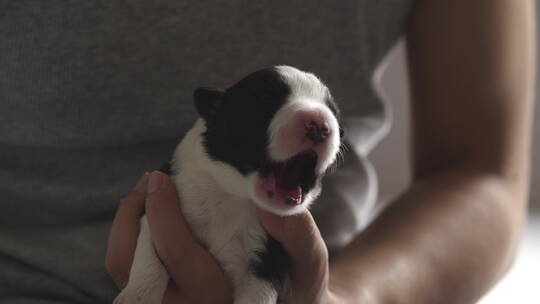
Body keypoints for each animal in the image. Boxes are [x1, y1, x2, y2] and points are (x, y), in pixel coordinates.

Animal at [114, 66, 342, 304]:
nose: (320, 125)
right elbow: (150, 253)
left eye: (335, 115)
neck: (234, 195)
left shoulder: (268, 258)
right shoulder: (160, 201)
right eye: (267, 100)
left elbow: (258, 294)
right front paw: (137, 296)